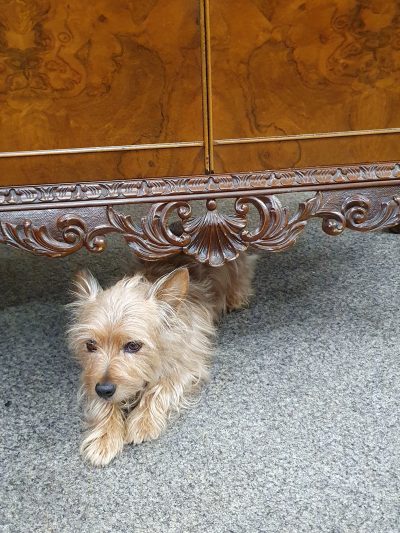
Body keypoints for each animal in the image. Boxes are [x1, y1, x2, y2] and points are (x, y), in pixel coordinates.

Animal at [68, 251, 256, 464]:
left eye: (133, 345)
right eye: (90, 345)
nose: (104, 389)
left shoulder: (188, 365)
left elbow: (161, 388)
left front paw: (143, 421)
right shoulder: (92, 378)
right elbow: (101, 403)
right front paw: (104, 437)